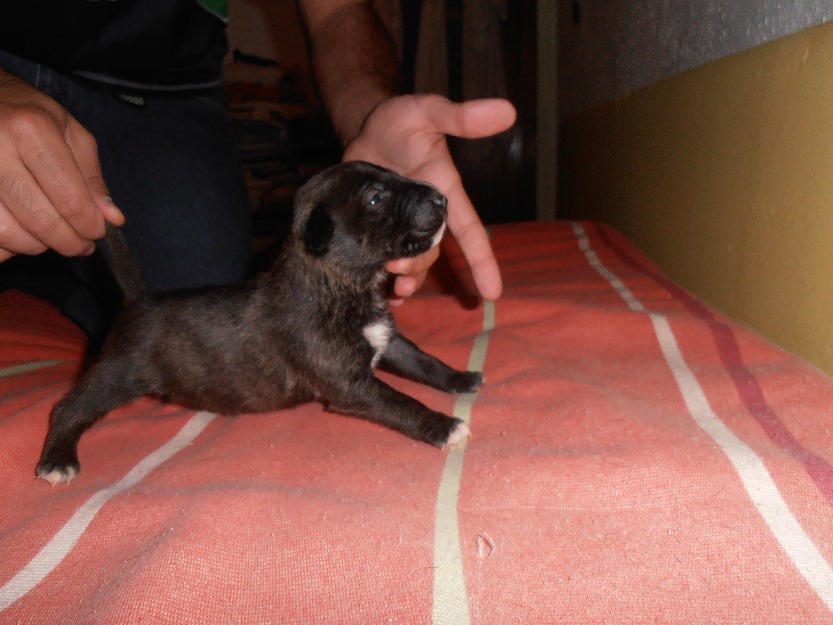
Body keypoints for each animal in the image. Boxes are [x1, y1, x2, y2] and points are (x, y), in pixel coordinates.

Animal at [37, 161, 480, 482]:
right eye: (375, 200)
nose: (442, 198)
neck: (340, 283)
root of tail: (139, 300)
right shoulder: (348, 383)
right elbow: (398, 401)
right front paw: (444, 426)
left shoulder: (386, 338)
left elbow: (422, 360)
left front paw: (460, 378)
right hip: (118, 371)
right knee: (70, 407)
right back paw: (58, 459)